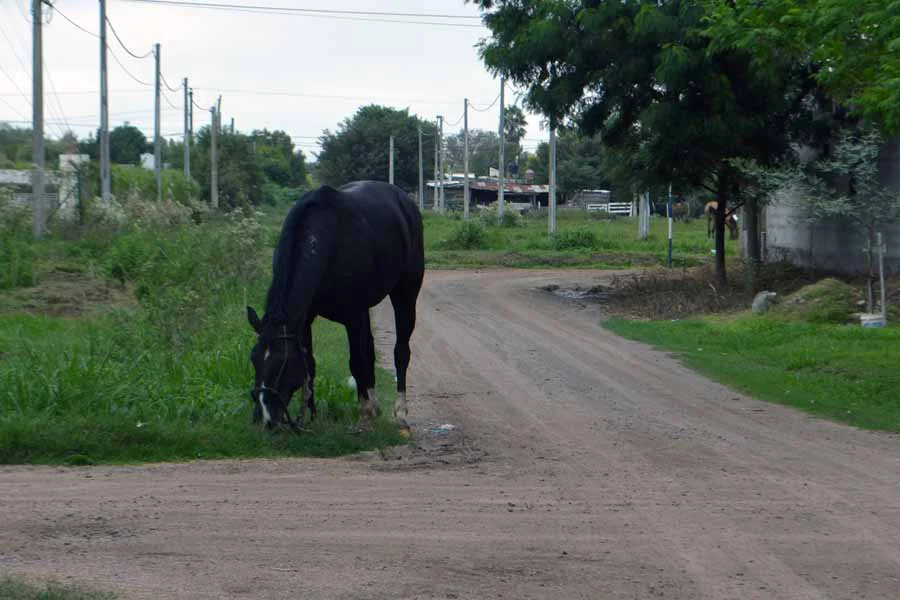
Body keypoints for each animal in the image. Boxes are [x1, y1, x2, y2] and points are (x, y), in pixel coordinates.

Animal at [245, 181, 425, 431]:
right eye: (254, 359)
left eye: (281, 364)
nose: (265, 419)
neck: (327, 241)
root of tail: (405, 201)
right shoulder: (306, 318)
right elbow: (311, 364)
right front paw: (310, 415)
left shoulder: (353, 314)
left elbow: (356, 361)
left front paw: (364, 413)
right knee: (370, 350)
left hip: (405, 296)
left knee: (400, 352)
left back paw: (399, 413)